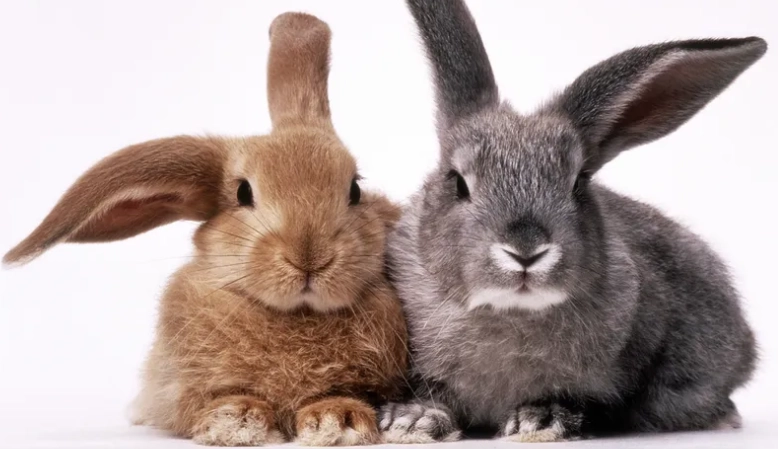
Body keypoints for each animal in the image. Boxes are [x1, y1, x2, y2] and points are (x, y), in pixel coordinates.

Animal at [3, 12, 408, 447]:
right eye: (243, 192)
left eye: (355, 189)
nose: (309, 257)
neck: (297, 315)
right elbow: (213, 400)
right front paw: (236, 418)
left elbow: (340, 395)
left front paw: (338, 419)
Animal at [378, 0, 765, 443]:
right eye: (458, 182)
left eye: (578, 182)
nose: (526, 251)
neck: (511, 313)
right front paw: (411, 422)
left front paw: (541, 420)